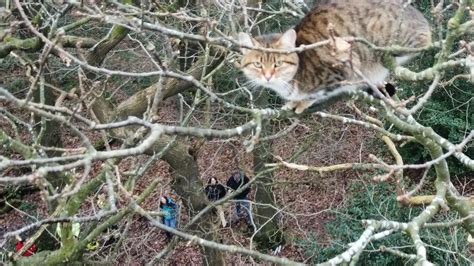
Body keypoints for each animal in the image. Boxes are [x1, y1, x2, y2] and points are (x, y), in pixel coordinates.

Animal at [239, 0, 432, 113]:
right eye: (257, 64)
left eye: (278, 64)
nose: (268, 76)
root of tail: (421, 18)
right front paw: (293, 102)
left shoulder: (342, 69)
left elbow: (316, 94)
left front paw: (301, 103)